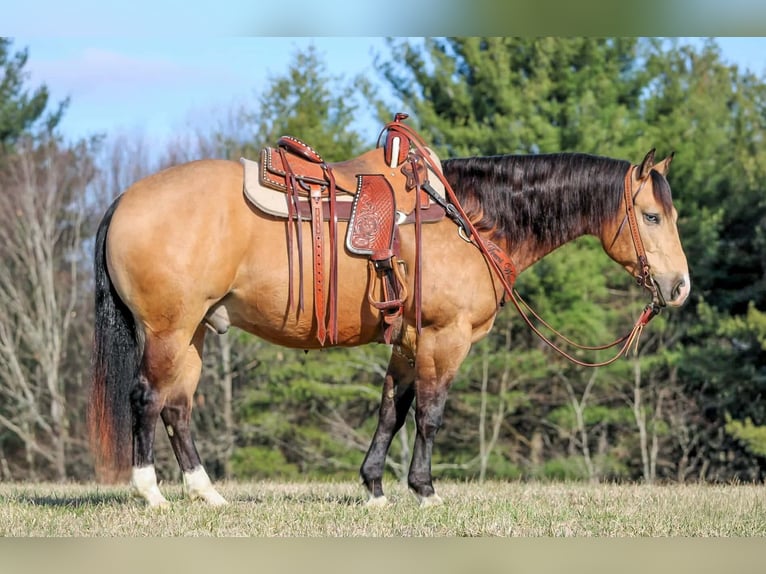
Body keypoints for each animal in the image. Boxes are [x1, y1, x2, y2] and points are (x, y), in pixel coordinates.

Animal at [89, 142, 689, 508]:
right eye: (652, 216)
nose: (680, 287)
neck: (470, 220)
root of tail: (123, 199)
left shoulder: (407, 340)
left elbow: (391, 411)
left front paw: (375, 486)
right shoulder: (445, 338)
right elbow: (429, 414)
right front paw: (425, 489)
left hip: (192, 333)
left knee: (177, 408)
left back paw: (207, 493)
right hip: (167, 331)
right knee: (146, 398)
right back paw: (151, 493)